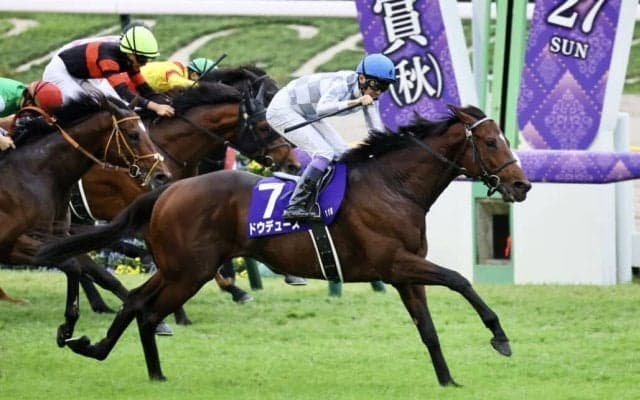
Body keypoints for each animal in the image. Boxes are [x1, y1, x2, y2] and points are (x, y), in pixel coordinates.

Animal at [0, 93, 169, 345]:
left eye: (145, 131)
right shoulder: (15, 246)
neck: (36, 175)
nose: (162, 174)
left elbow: (91, 271)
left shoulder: (60, 239)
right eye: (133, 134)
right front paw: (68, 325)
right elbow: (74, 266)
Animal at [36, 104, 531, 385]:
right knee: (148, 309)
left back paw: (108, 354)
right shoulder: (395, 263)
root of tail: (168, 189)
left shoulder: (404, 273)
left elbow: (427, 329)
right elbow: (460, 279)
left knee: (138, 301)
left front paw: (448, 382)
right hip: (189, 271)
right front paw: (500, 337)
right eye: (491, 141)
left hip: (179, 267)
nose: (521, 185)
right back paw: (141, 367)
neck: (394, 186)